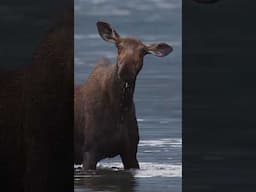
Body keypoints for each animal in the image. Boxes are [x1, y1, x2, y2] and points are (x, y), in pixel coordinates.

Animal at [74, 21, 174, 170]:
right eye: (119, 46)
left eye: (143, 51)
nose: (126, 68)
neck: (120, 108)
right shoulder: (89, 150)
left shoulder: (130, 152)